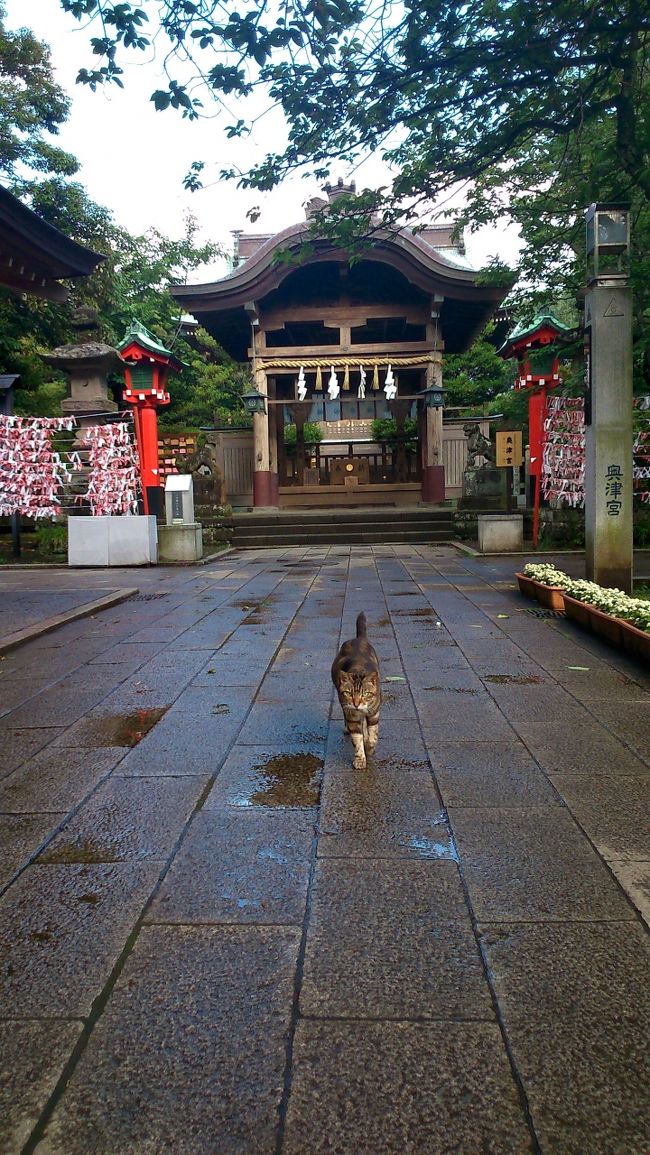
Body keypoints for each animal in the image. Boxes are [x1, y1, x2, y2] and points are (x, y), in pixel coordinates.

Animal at [330, 609, 380, 771]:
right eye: (348, 693)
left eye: (366, 694)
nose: (357, 704)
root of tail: (358, 638)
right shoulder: (351, 714)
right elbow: (357, 739)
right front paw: (359, 758)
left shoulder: (374, 712)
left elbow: (373, 735)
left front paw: (369, 748)